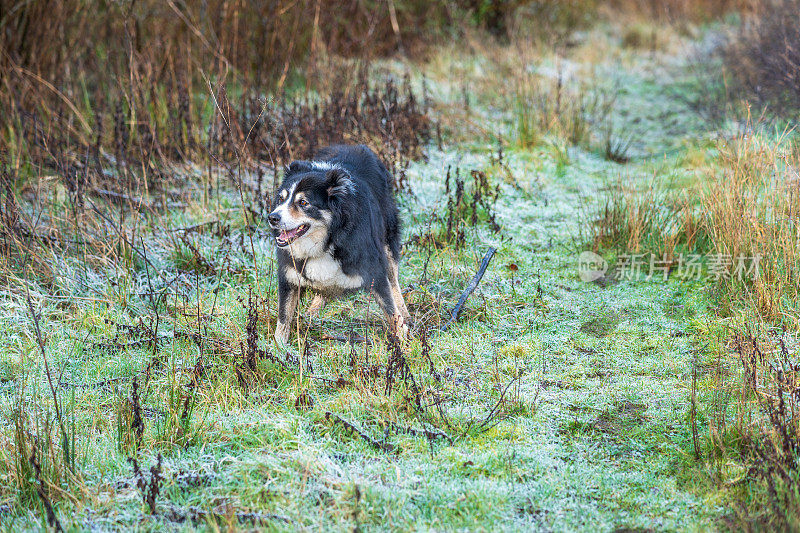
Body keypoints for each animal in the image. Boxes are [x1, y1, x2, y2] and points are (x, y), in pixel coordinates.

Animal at [268, 143, 410, 340]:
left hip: (388, 238)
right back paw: (313, 310)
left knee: (394, 280)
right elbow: (283, 317)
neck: (328, 239)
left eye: (303, 202)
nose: (272, 218)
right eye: (281, 199)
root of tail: (356, 146)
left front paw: (406, 341)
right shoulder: (289, 274)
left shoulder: (373, 269)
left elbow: (391, 310)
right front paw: (278, 346)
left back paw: (405, 312)